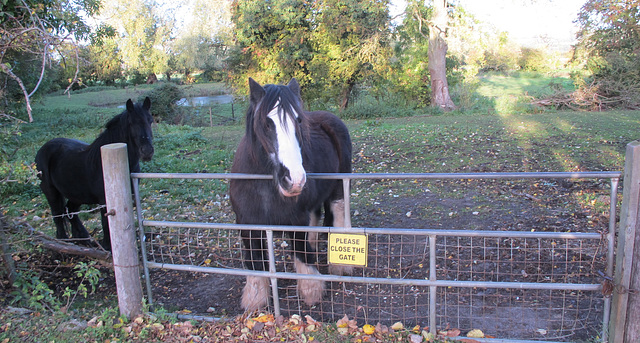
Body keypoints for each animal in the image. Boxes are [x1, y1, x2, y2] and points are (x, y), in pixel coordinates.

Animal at [35, 98, 154, 251]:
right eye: (131, 123)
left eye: (150, 120)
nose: (147, 151)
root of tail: (42, 149)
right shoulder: (104, 201)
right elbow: (106, 224)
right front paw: (108, 247)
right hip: (51, 193)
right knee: (58, 216)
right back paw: (64, 241)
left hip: (77, 194)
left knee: (70, 212)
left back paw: (85, 239)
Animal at [229, 78, 352, 314]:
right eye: (267, 123)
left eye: (299, 120)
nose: (294, 179)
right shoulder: (247, 224)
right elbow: (255, 261)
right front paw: (255, 299)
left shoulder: (296, 220)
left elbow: (301, 252)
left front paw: (311, 290)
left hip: (340, 185)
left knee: (338, 211)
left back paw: (340, 265)